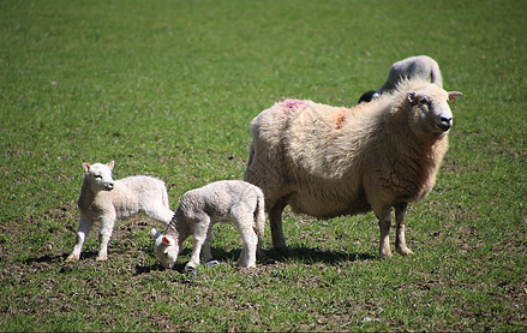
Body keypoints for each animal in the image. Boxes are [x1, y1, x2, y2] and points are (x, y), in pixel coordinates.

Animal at [243, 78, 462, 256]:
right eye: (423, 101)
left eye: (447, 100)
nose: (447, 119)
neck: (390, 127)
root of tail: (261, 118)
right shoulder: (381, 189)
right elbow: (386, 223)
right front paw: (385, 253)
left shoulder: (401, 190)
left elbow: (401, 222)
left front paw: (403, 249)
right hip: (266, 179)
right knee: (259, 217)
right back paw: (259, 252)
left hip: (282, 185)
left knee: (275, 213)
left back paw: (281, 246)